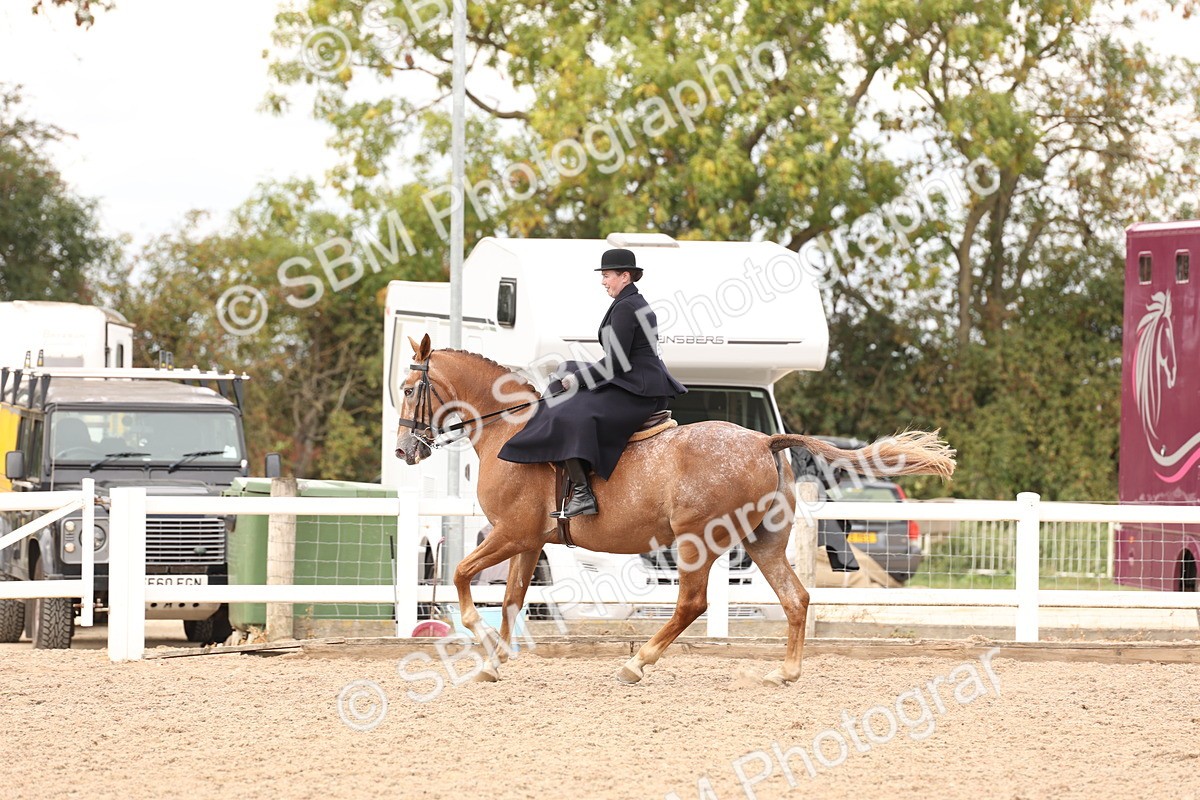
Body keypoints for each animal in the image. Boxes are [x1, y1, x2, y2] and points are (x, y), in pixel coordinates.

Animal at [394, 334, 956, 685]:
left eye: (408, 388)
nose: (403, 452)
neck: (507, 429)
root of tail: (764, 441)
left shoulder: (511, 534)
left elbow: (462, 578)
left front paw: (481, 637)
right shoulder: (530, 541)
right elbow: (512, 599)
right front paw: (494, 662)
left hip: (695, 540)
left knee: (692, 603)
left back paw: (636, 664)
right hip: (763, 541)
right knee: (795, 599)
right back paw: (785, 672)